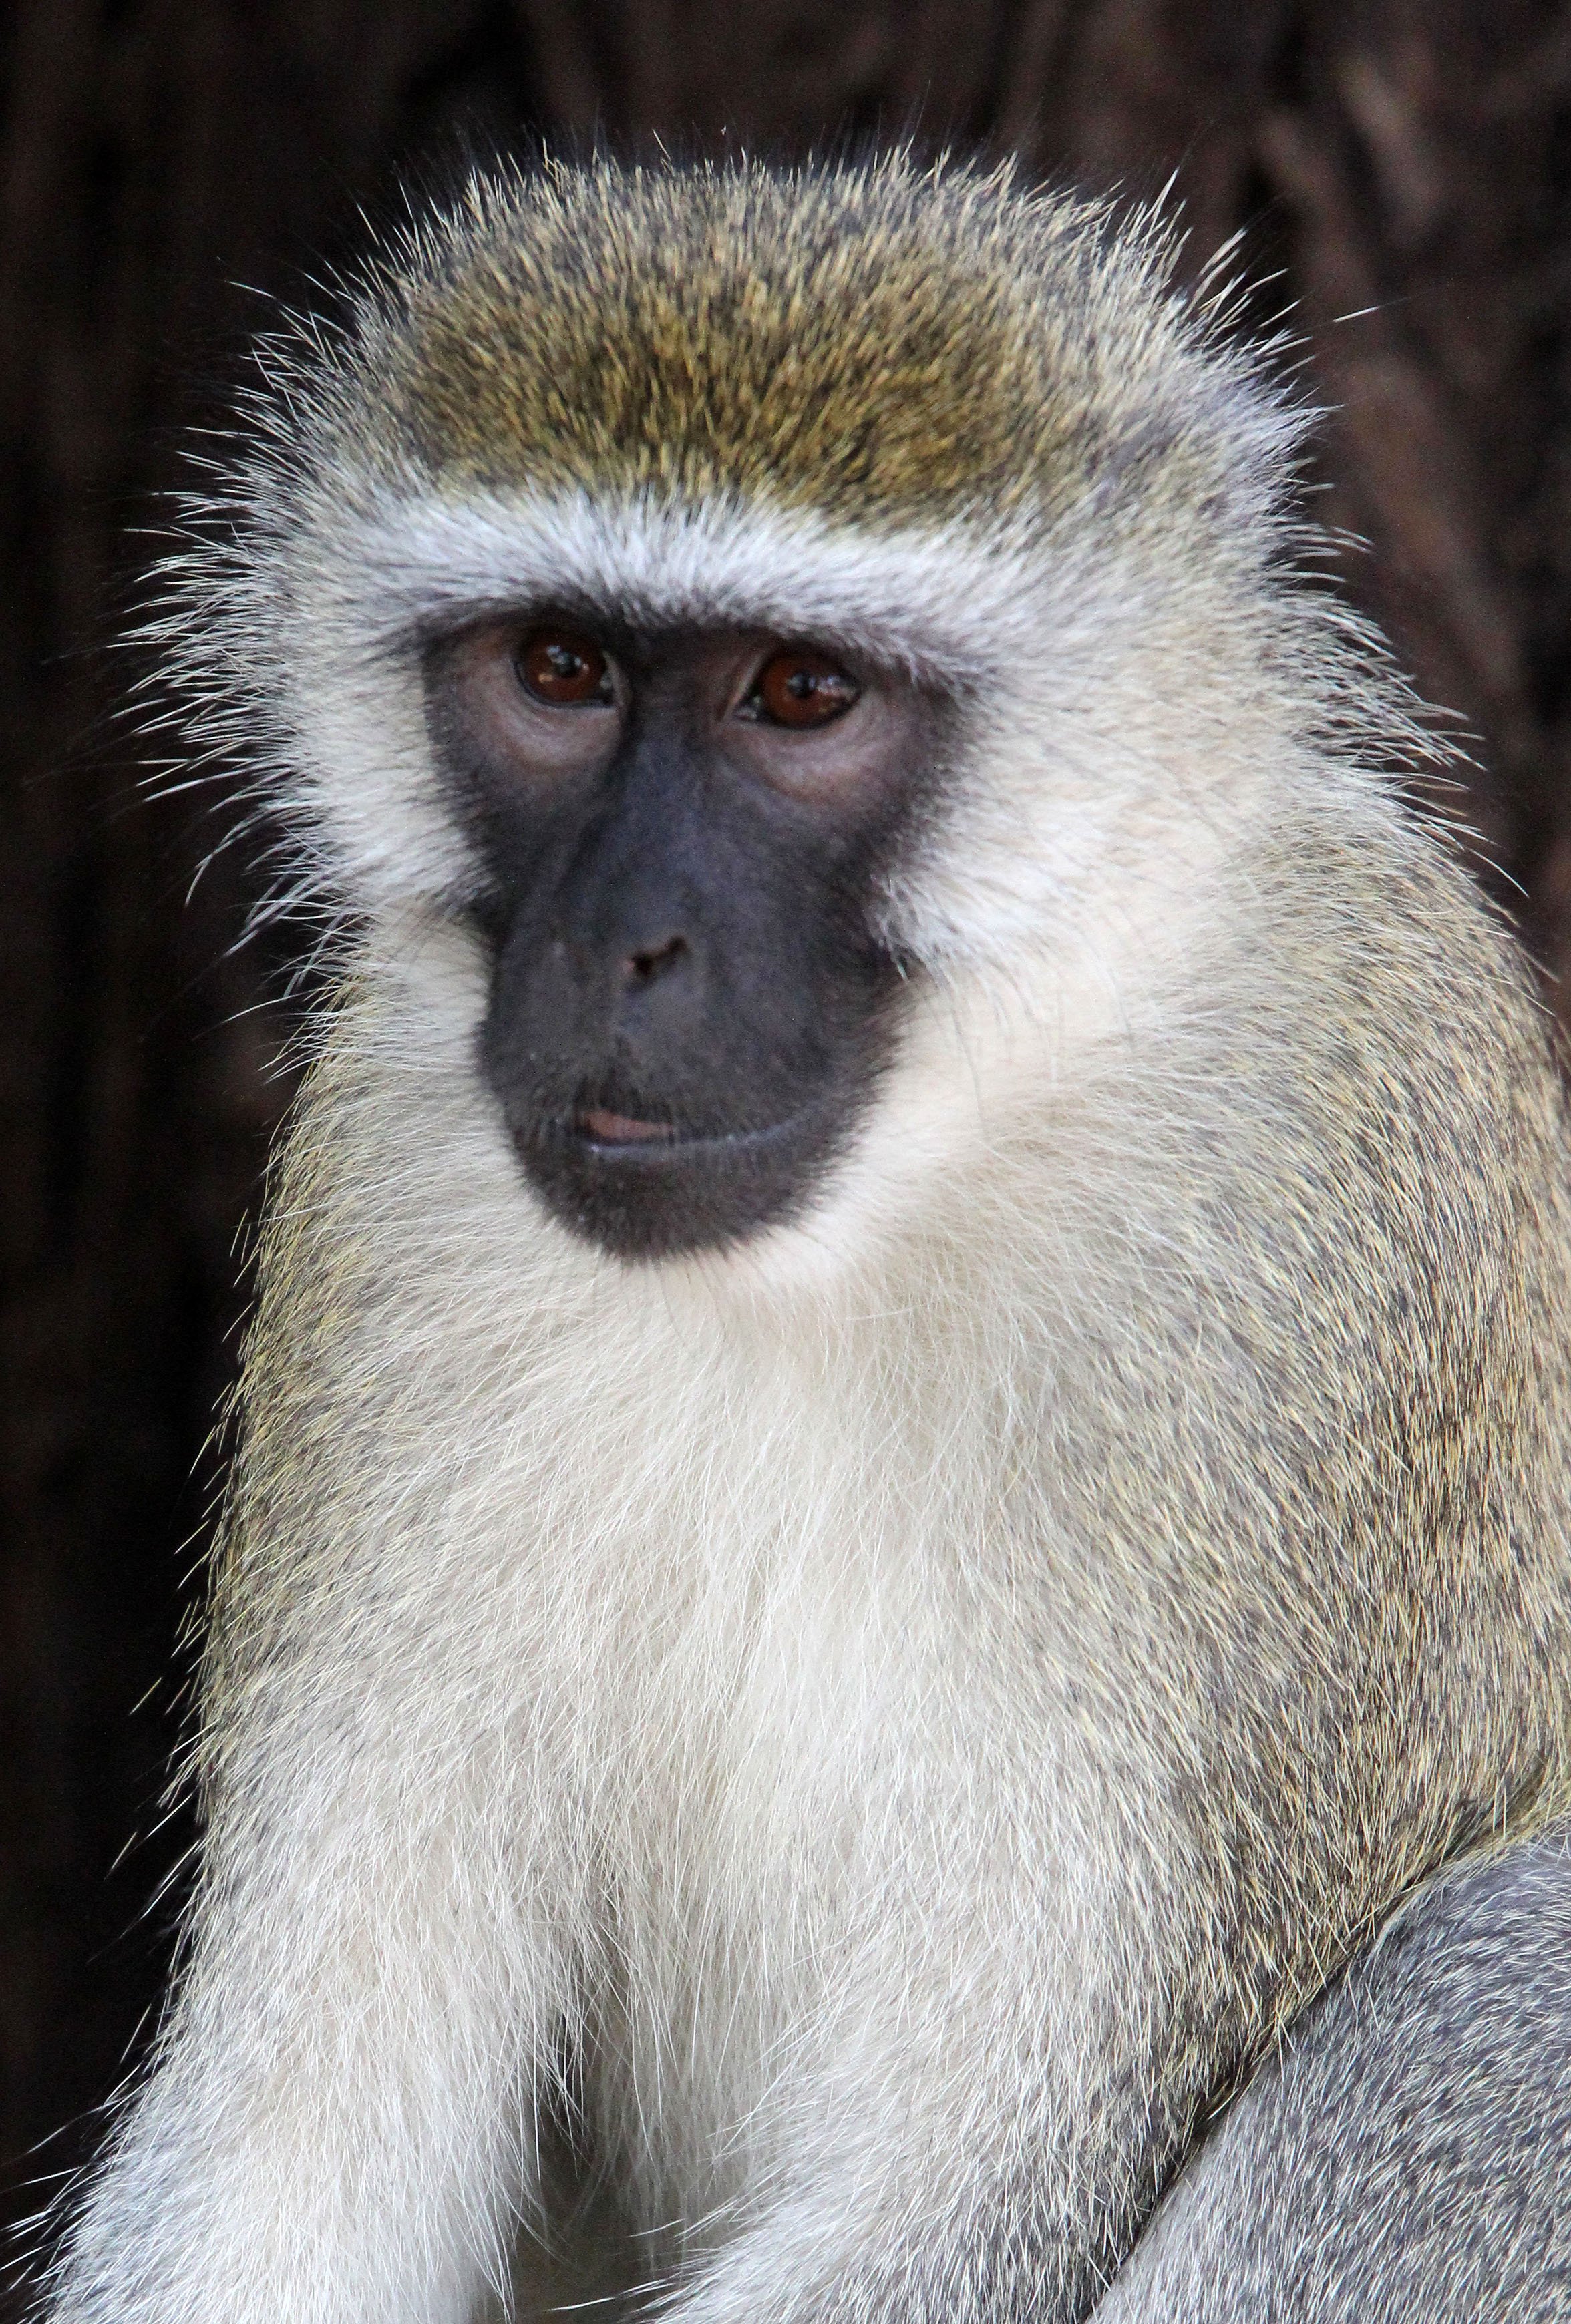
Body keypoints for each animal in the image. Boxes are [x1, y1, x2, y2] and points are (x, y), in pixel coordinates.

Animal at [38, 151, 1571, 2324]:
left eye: (803, 696)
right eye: (562, 672)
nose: (625, 946)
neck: (887, 1201)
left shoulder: (1329, 1198)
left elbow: (968, 2200)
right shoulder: (394, 1178)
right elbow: (298, 2157)